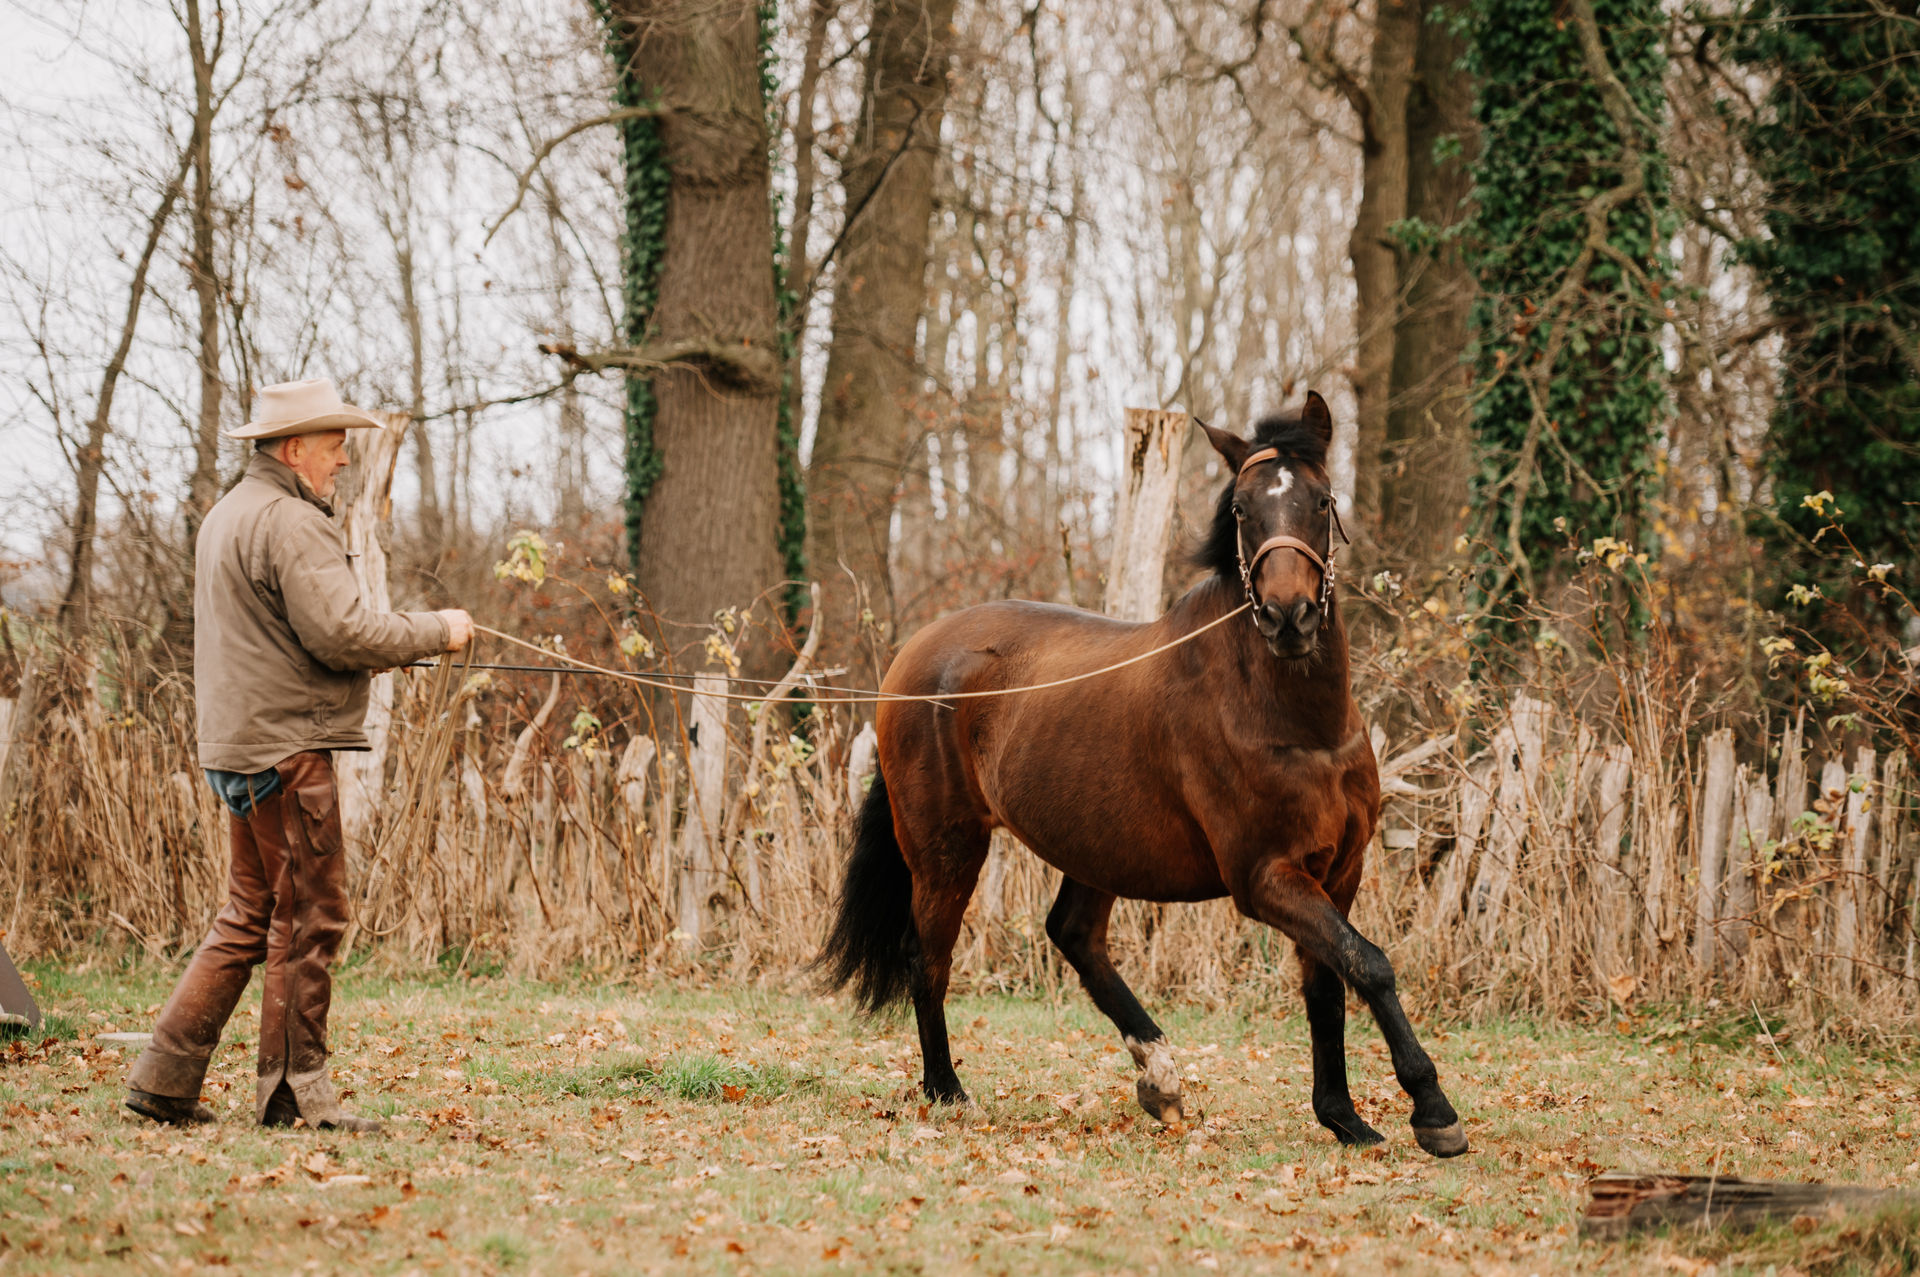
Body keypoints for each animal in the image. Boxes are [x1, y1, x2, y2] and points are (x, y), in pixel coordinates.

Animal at [817, 392, 1467, 1157]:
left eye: (1322, 499)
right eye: (1241, 507)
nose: (1289, 616)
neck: (1297, 725)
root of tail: (912, 658)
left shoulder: (1338, 870)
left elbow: (1330, 980)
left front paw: (1344, 1116)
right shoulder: (1265, 877)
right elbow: (1368, 963)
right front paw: (1432, 1109)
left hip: (1095, 846)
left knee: (1073, 936)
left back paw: (1160, 1077)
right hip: (947, 846)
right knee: (931, 960)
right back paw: (949, 1091)